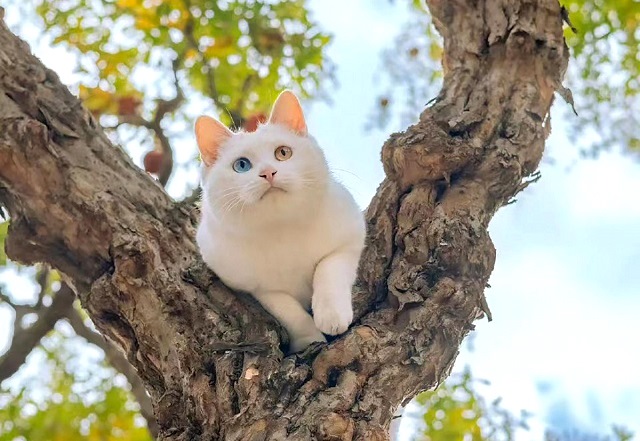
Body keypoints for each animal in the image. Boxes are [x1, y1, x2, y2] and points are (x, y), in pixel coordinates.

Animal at [194, 91, 364, 352]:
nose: (268, 173)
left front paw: (331, 315)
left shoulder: (350, 238)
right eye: (241, 165)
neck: (282, 229)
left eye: (283, 153)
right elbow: (289, 312)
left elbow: (328, 268)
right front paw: (309, 340)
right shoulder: (260, 289)